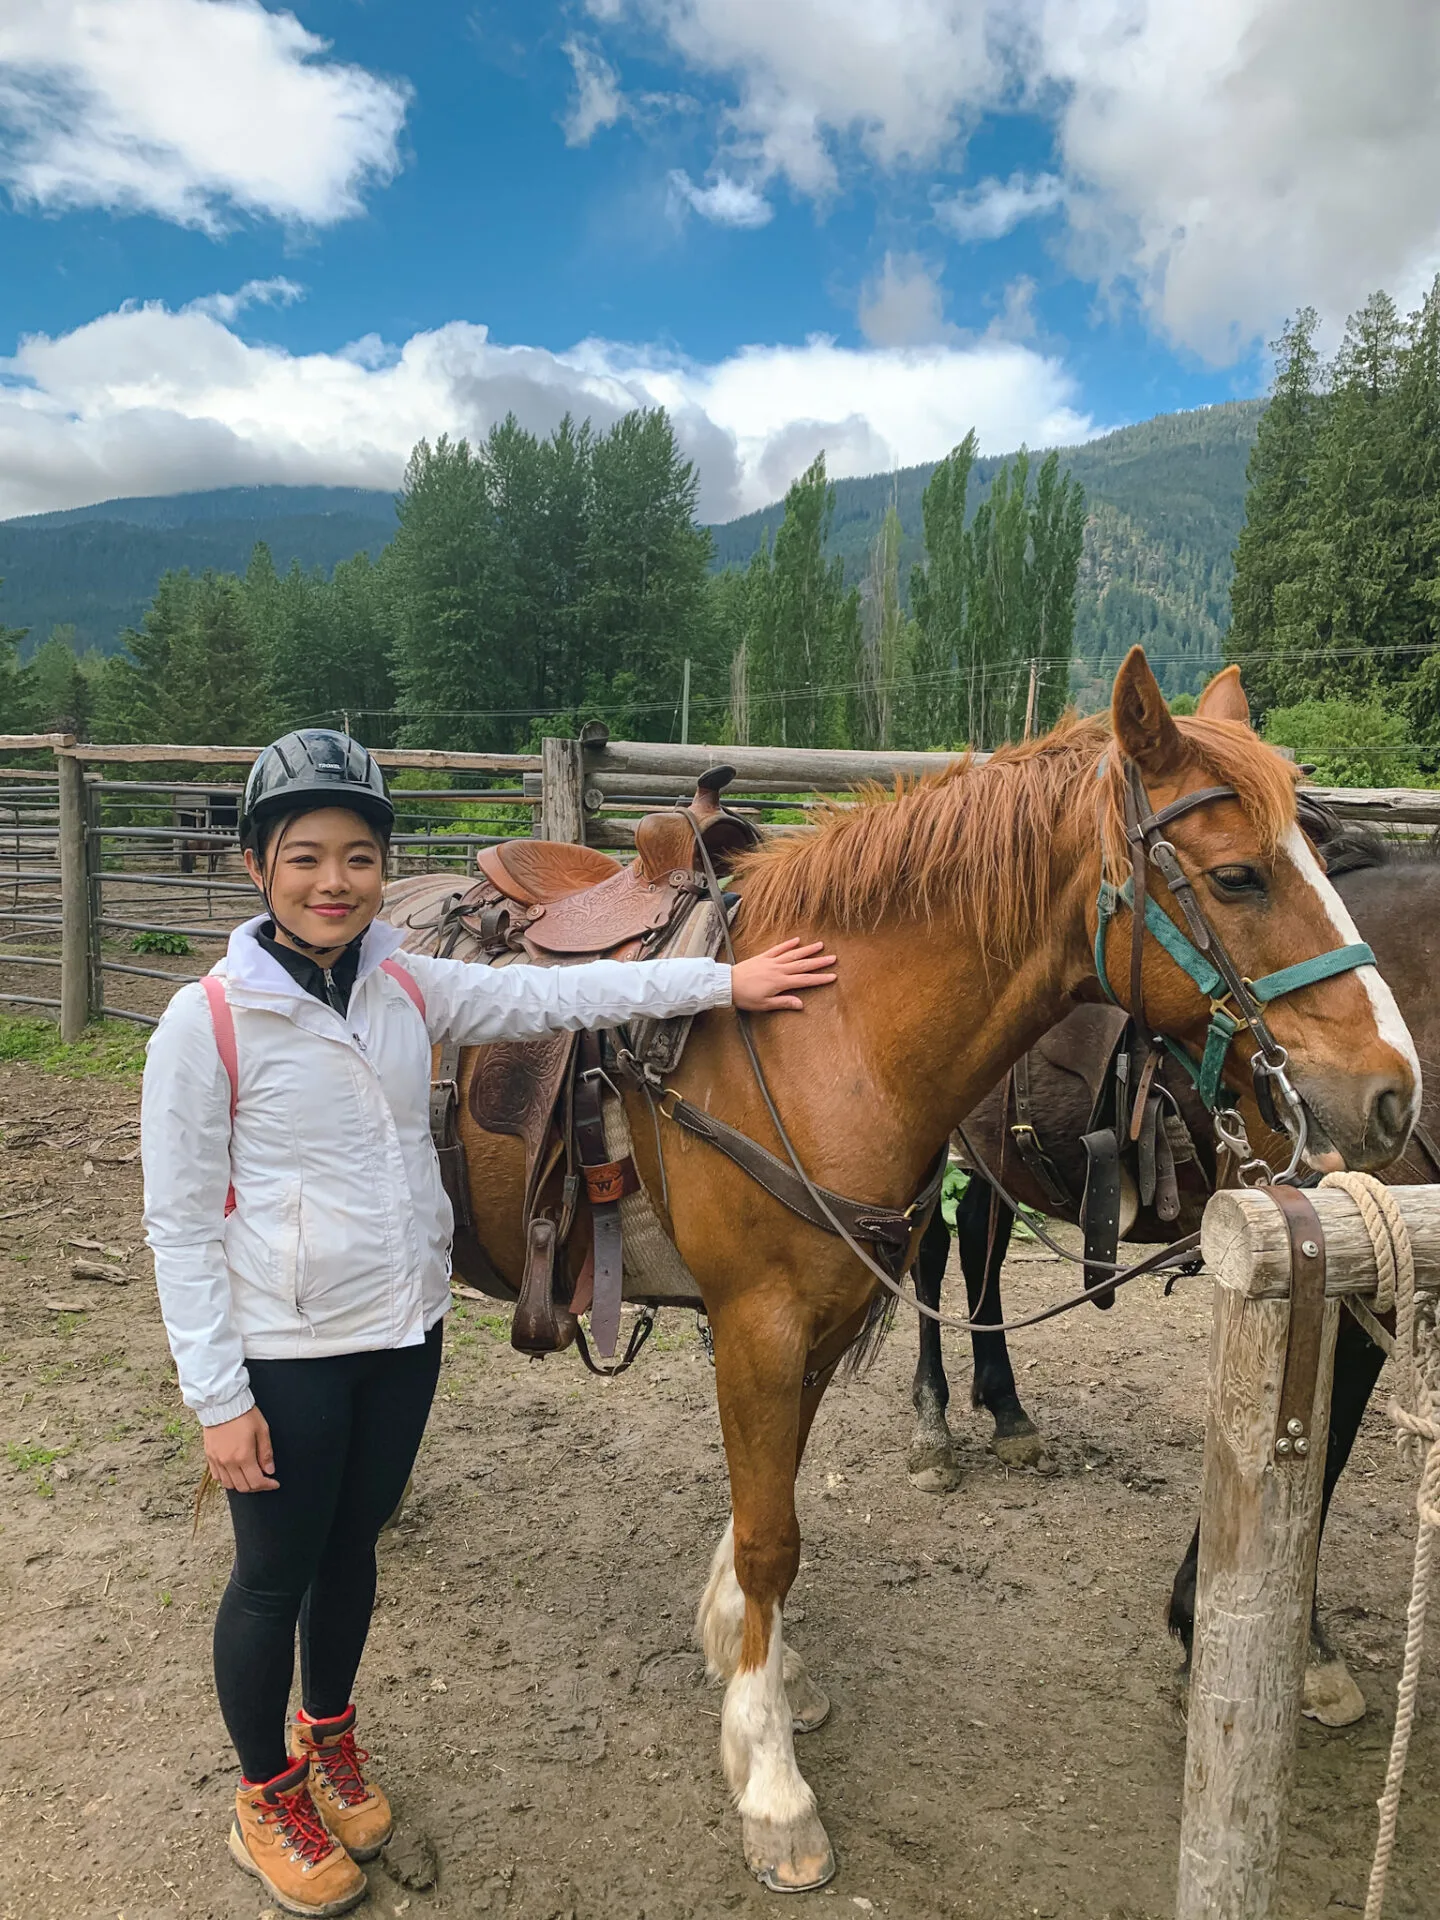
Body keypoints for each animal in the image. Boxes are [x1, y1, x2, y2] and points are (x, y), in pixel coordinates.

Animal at [439, 648, 1420, 1889]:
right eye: (1241, 876)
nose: (1393, 1091)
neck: (824, 1033)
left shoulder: (816, 1319)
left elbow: (772, 1507)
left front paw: (755, 1663)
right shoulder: (759, 1323)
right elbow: (771, 1533)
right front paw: (772, 1786)